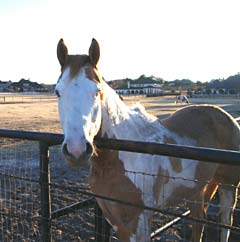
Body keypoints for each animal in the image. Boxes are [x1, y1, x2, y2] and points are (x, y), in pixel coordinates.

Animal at [54, 38, 240, 241]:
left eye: (97, 91)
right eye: (58, 92)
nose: (76, 150)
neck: (120, 156)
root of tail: (226, 117)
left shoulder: (139, 219)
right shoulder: (116, 220)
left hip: (228, 185)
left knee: (225, 220)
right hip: (198, 188)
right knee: (199, 220)